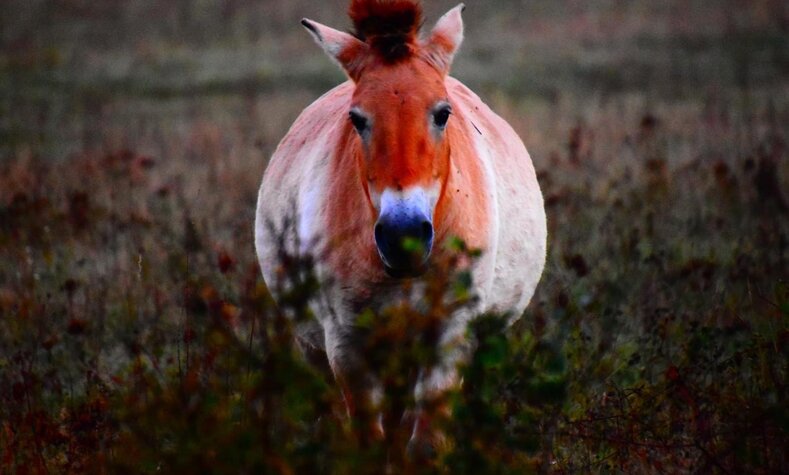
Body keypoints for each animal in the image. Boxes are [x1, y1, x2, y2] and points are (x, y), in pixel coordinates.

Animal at [255, 0, 544, 454]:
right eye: (357, 119)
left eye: (443, 113)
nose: (402, 237)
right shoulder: (346, 341)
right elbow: (368, 439)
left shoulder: (449, 335)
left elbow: (426, 442)